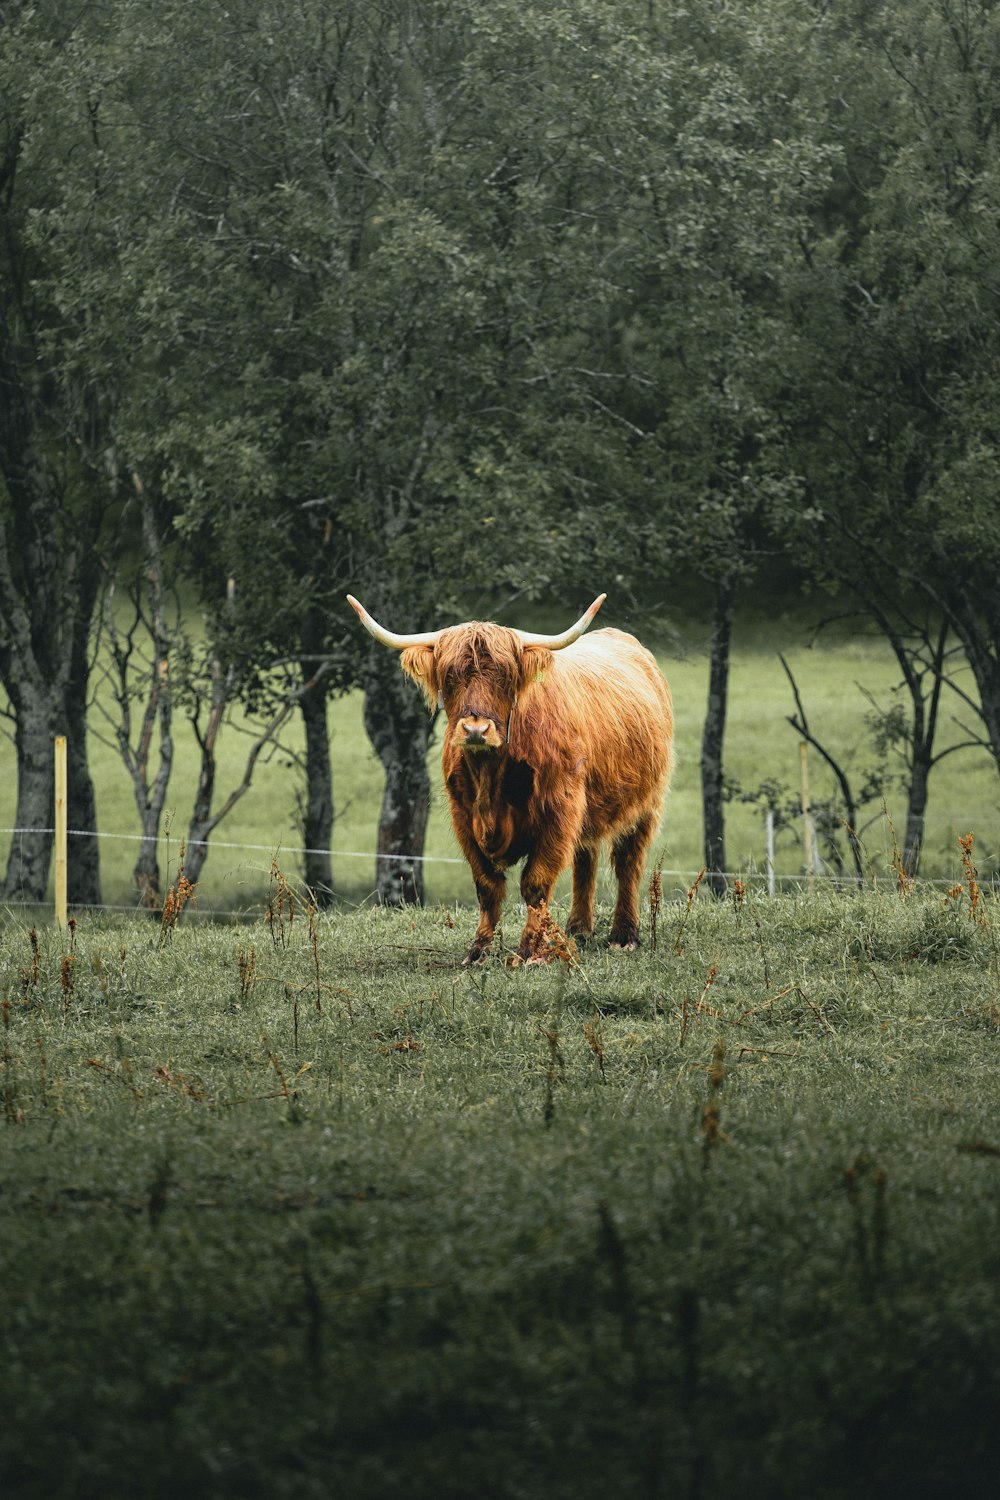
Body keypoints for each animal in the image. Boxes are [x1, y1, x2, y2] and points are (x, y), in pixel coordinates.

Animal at [347, 591, 677, 966]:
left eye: (505, 676)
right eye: (449, 676)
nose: (476, 730)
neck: (491, 780)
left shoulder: (559, 812)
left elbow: (536, 884)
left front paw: (530, 951)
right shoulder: (464, 817)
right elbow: (487, 885)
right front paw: (478, 951)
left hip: (646, 803)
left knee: (628, 864)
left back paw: (624, 936)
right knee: (585, 859)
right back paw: (579, 929)